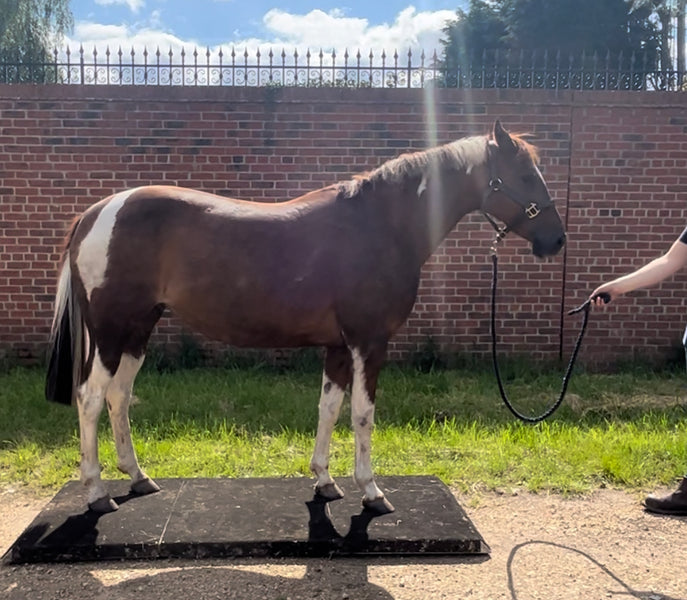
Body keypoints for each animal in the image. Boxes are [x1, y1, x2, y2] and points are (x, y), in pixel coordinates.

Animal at [45, 120, 566, 515]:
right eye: (524, 175)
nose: (556, 239)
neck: (381, 225)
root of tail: (96, 212)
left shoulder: (337, 346)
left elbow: (329, 409)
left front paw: (325, 481)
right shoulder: (368, 342)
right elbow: (362, 415)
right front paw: (371, 491)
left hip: (138, 330)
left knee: (118, 397)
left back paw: (138, 477)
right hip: (111, 332)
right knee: (90, 398)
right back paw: (96, 493)